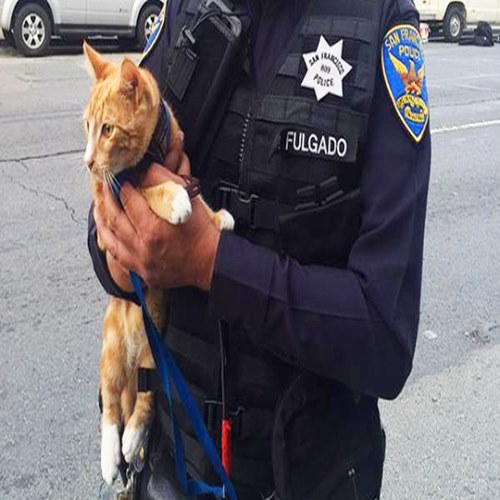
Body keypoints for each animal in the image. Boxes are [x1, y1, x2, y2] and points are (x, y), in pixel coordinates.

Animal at [82, 41, 234, 486]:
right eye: (87, 127)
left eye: (107, 129)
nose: (87, 162)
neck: (149, 153)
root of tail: (133, 359)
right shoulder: (112, 201)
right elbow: (150, 188)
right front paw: (173, 198)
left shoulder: (179, 166)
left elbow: (192, 187)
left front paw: (216, 217)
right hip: (110, 351)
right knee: (111, 405)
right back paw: (111, 455)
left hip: (156, 351)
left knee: (147, 397)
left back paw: (134, 437)